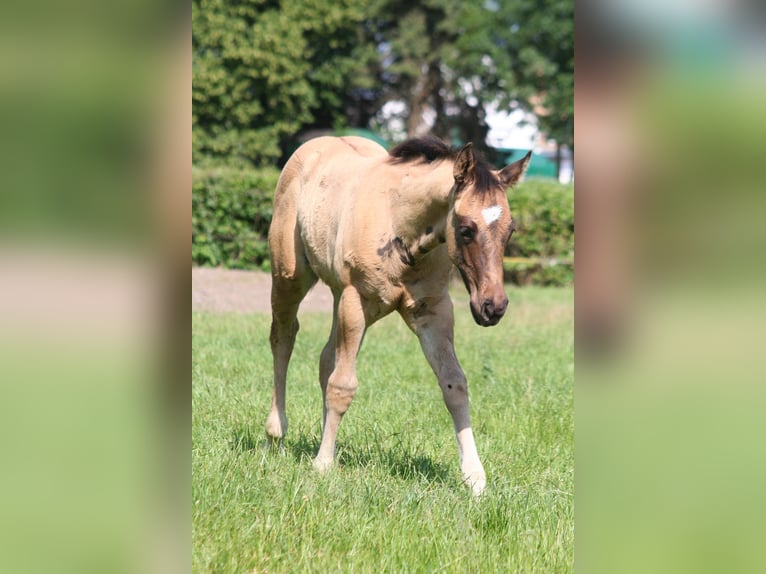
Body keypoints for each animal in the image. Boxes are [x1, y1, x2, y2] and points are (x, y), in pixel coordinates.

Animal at [265, 135, 530, 495]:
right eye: (465, 229)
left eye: (510, 230)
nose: (493, 306)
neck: (401, 225)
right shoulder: (356, 299)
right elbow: (343, 385)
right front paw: (323, 465)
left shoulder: (434, 310)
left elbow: (455, 384)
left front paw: (474, 477)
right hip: (291, 277)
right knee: (284, 337)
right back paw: (276, 431)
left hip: (342, 297)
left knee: (326, 358)